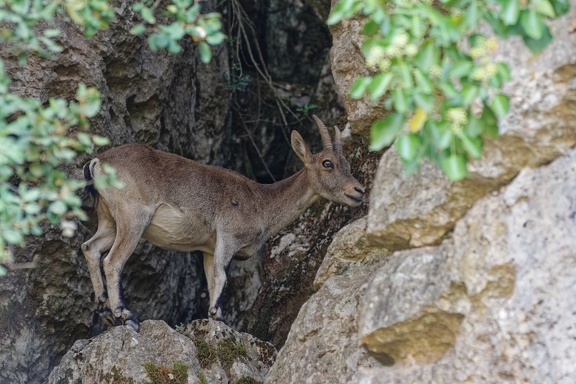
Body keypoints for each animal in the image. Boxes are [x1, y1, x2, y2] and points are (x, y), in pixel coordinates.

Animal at [81, 115, 364, 332]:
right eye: (327, 163)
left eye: (347, 164)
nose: (358, 190)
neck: (262, 203)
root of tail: (98, 162)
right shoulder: (229, 236)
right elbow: (221, 274)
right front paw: (219, 316)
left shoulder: (209, 247)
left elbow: (211, 276)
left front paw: (213, 316)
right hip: (133, 217)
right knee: (112, 261)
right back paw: (124, 314)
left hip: (109, 220)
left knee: (90, 248)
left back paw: (103, 309)